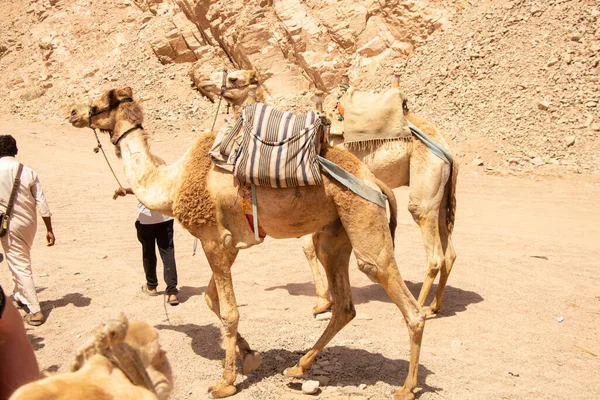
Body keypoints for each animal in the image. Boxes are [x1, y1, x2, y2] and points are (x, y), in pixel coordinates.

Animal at [69, 86, 426, 398]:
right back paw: (298, 367)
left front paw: (225, 382)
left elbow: (228, 311)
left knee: (397, 293)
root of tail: (375, 181)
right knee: (344, 304)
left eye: (98, 104)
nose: (72, 111)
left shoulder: (212, 239)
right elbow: (211, 300)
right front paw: (250, 355)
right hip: (334, 232)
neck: (172, 183)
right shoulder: (229, 245)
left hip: (362, 214)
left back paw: (406, 388)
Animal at [195, 70, 458, 318]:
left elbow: (307, 247)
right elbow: (312, 245)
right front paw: (328, 299)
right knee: (450, 253)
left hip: (426, 176)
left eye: (233, 77)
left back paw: (420, 308)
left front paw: (322, 302)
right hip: (440, 188)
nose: (201, 81)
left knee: (432, 247)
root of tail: (446, 147)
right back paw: (434, 306)